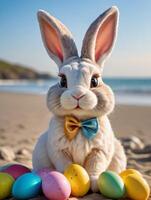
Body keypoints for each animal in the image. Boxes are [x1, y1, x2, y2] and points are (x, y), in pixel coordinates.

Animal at [32, 5, 127, 191]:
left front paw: (95, 182)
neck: (80, 123)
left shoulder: (99, 152)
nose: (77, 94)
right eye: (62, 80)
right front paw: (67, 181)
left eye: (95, 80)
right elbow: (67, 166)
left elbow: (94, 168)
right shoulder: (59, 152)